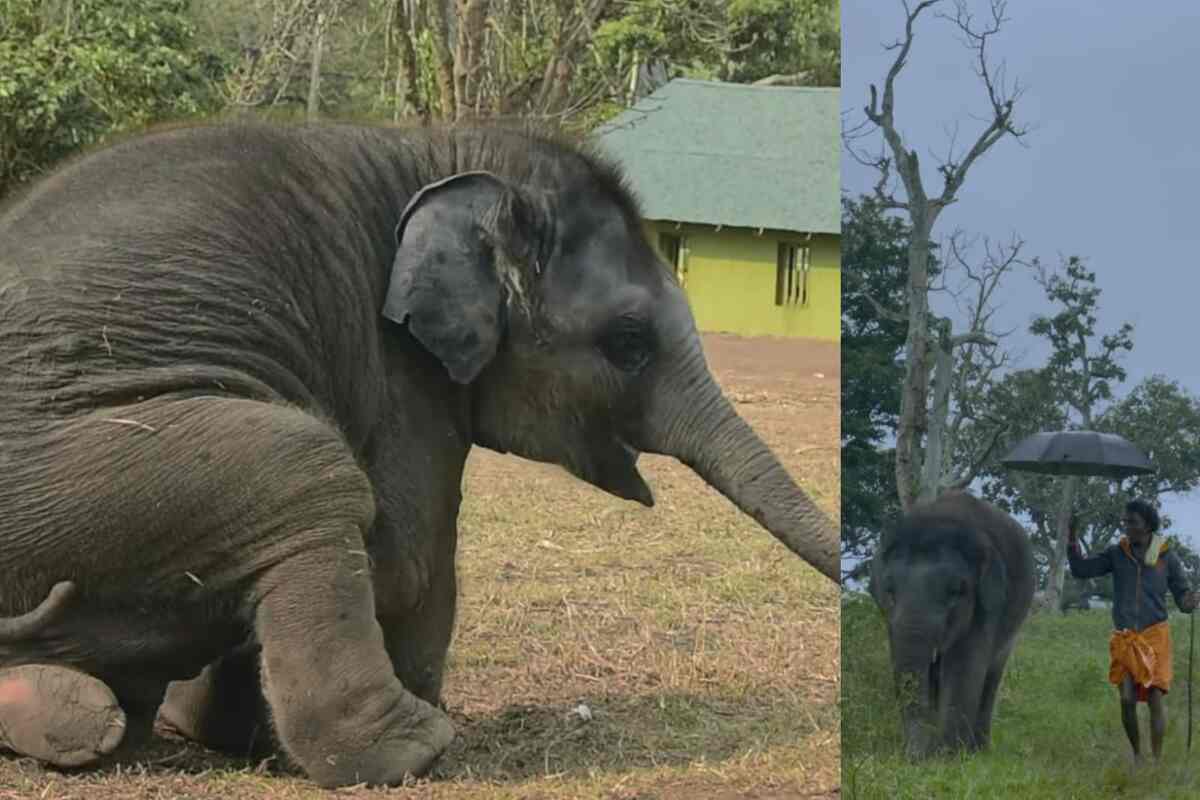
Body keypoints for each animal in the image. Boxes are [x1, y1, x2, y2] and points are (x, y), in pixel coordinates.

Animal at [0, 120, 835, 786]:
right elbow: (408, 558)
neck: (446, 148)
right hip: (70, 478)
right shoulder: (397, 362)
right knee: (306, 466)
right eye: (628, 343)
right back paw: (415, 747)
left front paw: (224, 731)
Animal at [868, 491, 1036, 762]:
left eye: (955, 593)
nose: (913, 758)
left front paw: (950, 758)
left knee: (991, 676)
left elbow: (963, 667)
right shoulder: (891, 621)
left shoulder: (986, 606)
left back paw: (979, 750)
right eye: (890, 592)